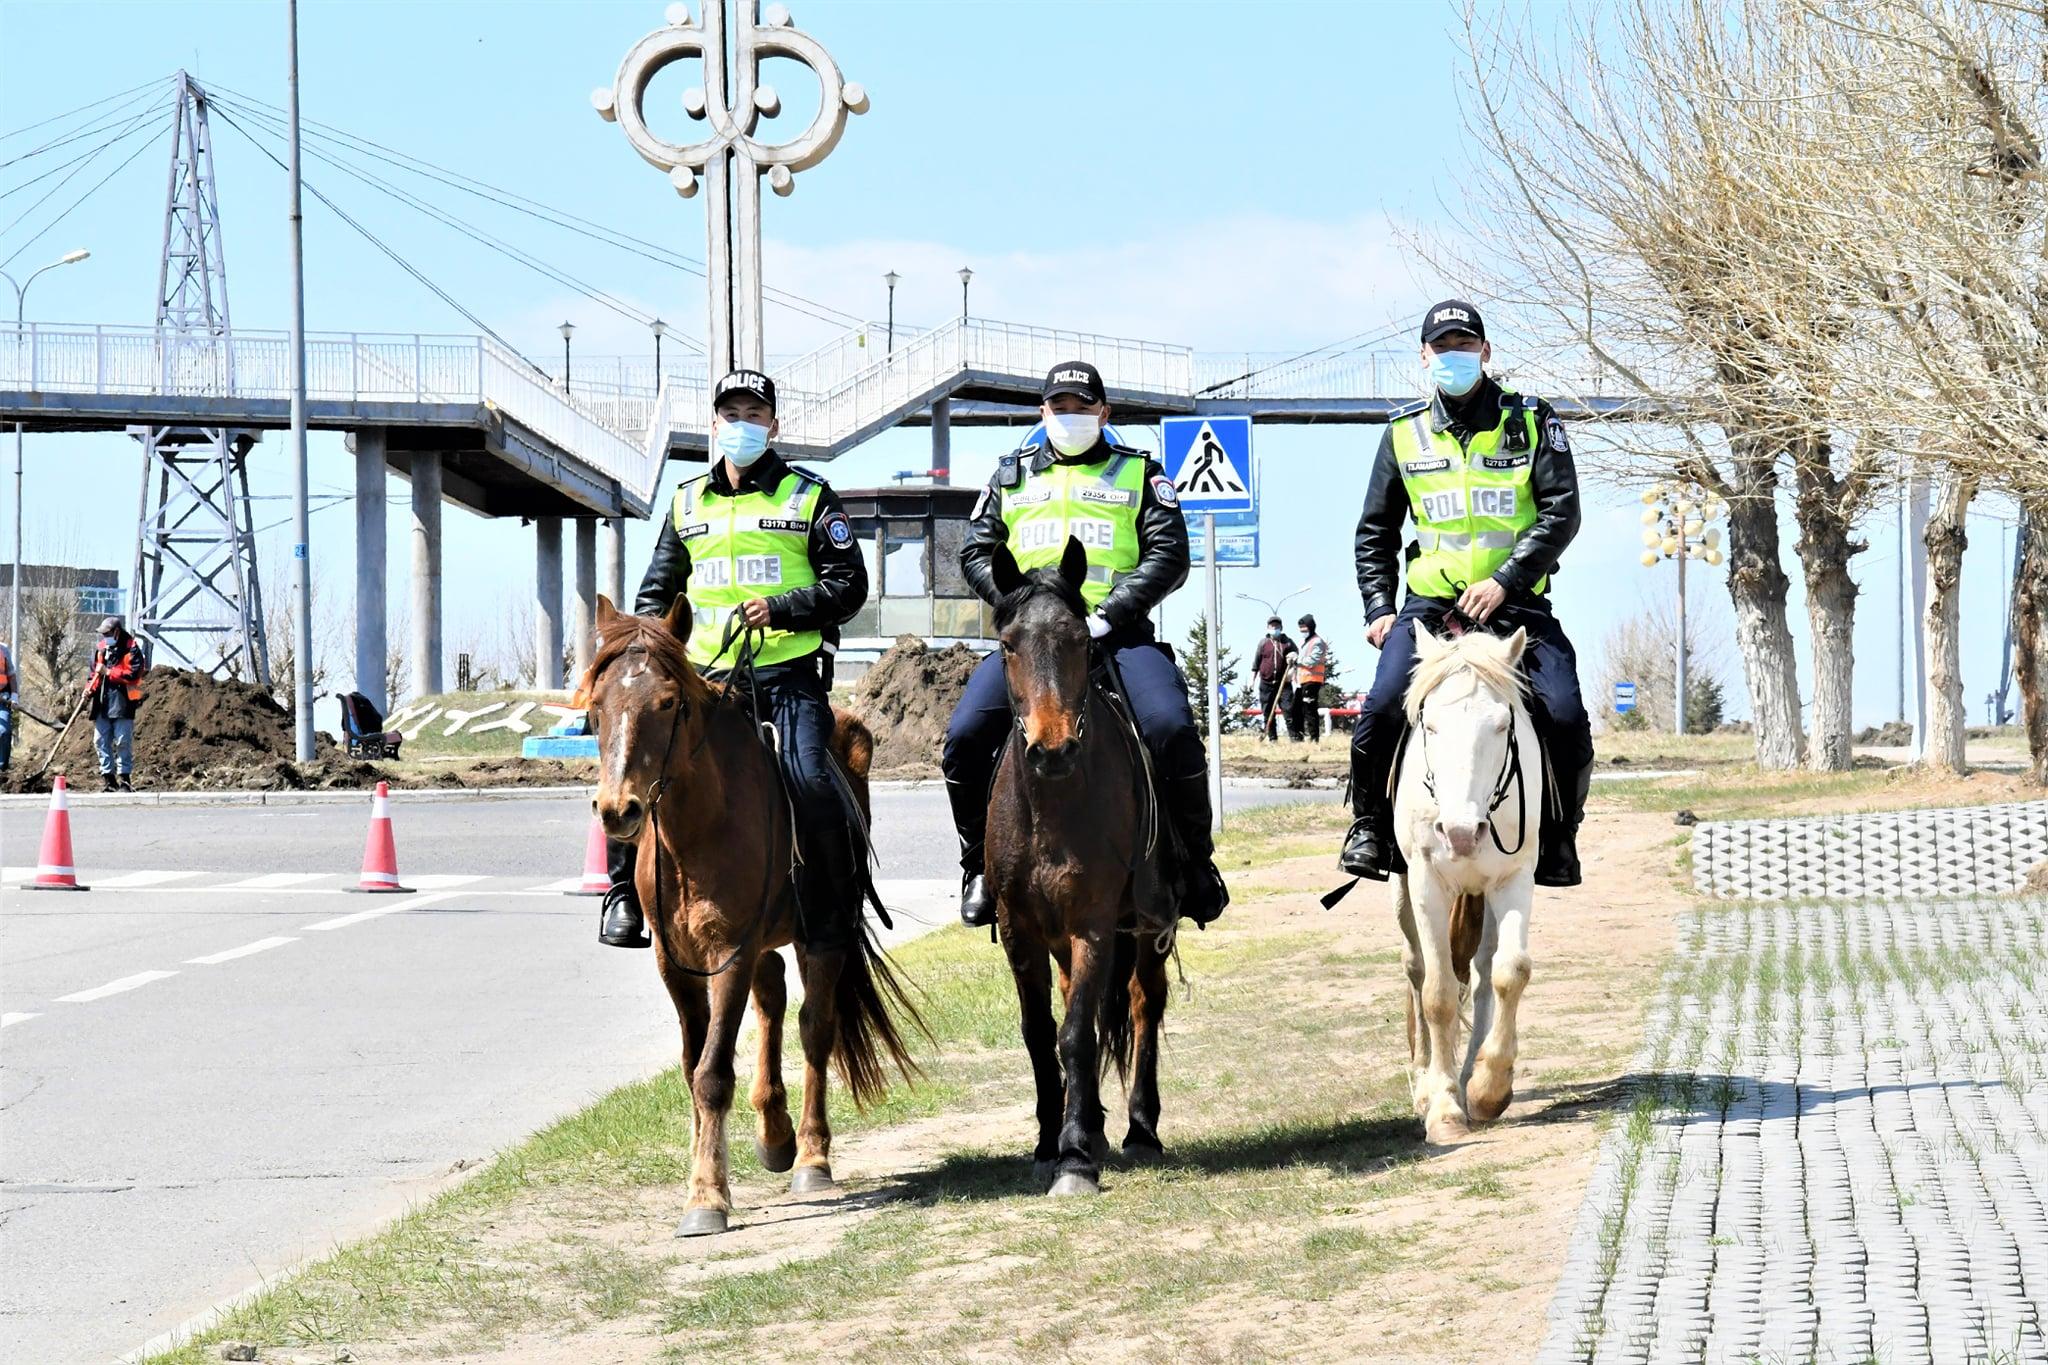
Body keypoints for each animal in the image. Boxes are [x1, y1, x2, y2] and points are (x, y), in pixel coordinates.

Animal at [585, 597, 921, 1236]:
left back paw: (810, 1155)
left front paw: (707, 1199)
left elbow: (712, 1072)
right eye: (595, 707)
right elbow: (692, 1067)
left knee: (815, 1027)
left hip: (820, 937)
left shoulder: (730, 952)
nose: (619, 811)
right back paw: (774, 1132)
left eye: (669, 703)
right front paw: (704, 1176)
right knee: (773, 998)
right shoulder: (676, 962)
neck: (694, 831)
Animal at [987, 540, 1179, 1203]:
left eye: (1079, 639)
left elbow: (1073, 1034)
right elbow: (1041, 1033)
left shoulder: (1094, 924)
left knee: (1144, 1004)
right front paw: (1053, 1142)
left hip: (1146, 925)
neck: (1054, 805)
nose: (1052, 750)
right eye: (1009, 643)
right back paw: (1091, 1123)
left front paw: (1073, 1161)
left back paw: (1140, 1131)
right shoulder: (1018, 929)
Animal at [1392, 626, 1540, 1146]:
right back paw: (1427, 1085)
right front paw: (1443, 1109)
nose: (1459, 833)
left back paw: (1469, 1074)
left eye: (1501, 725)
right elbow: (1436, 992)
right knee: (1416, 969)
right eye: (1430, 726)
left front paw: (1487, 1088)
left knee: (1480, 973)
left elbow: (1510, 972)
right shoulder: (1425, 882)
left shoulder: (1515, 878)